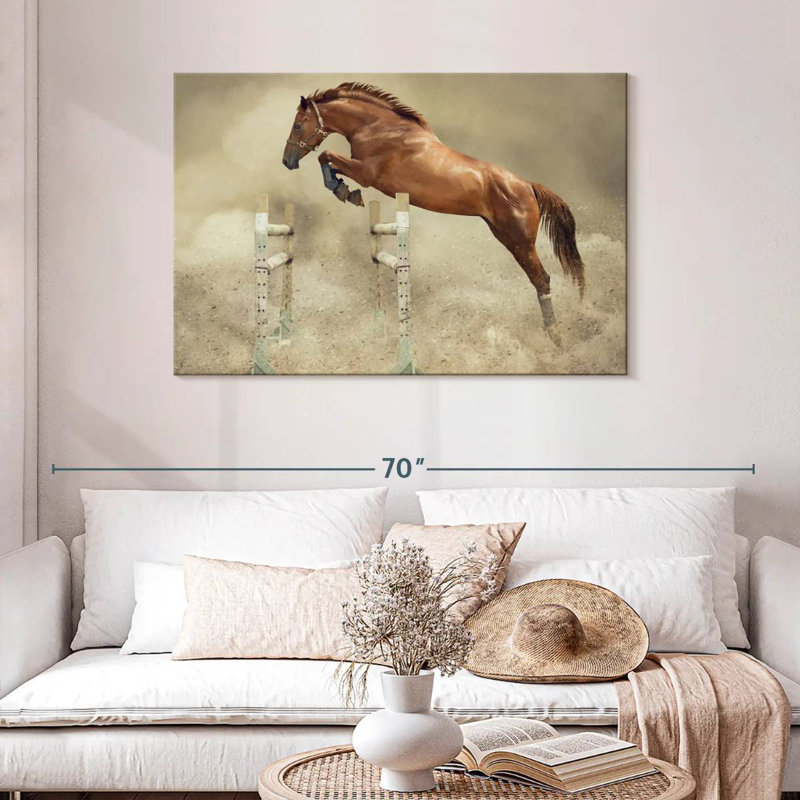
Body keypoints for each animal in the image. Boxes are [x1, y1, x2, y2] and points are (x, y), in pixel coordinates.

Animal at [282, 82, 585, 345]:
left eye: (298, 125)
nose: (287, 161)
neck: (378, 128)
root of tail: (527, 185)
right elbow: (329, 162)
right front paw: (344, 190)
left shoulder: (366, 173)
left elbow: (326, 156)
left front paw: (344, 191)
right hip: (505, 236)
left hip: (520, 241)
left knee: (541, 279)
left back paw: (555, 335)